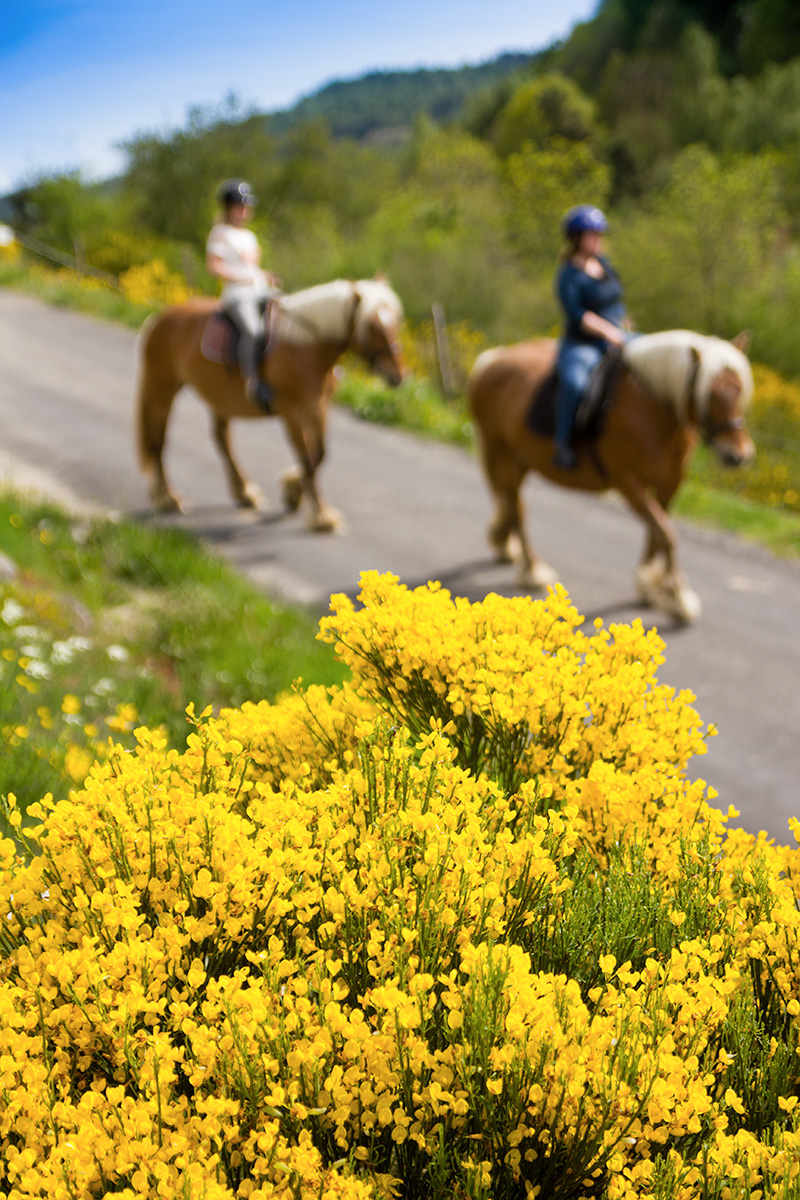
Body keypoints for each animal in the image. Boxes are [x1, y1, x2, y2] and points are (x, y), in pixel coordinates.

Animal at [135, 278, 407, 532]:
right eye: (371, 326)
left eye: (395, 321)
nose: (399, 375)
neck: (306, 347)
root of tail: (160, 317)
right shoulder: (291, 413)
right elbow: (307, 459)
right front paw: (320, 515)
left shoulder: (319, 408)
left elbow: (319, 455)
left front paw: (293, 493)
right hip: (162, 388)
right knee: (158, 440)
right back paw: (168, 498)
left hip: (217, 397)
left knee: (222, 439)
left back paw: (244, 492)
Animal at [465, 331, 753, 624]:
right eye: (711, 394)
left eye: (740, 389)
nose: (738, 454)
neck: (651, 409)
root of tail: (494, 359)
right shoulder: (628, 482)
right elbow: (667, 535)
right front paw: (679, 598)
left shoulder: (669, 484)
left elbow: (657, 533)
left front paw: (649, 585)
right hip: (500, 451)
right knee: (516, 508)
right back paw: (532, 568)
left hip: (519, 459)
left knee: (513, 503)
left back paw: (505, 545)